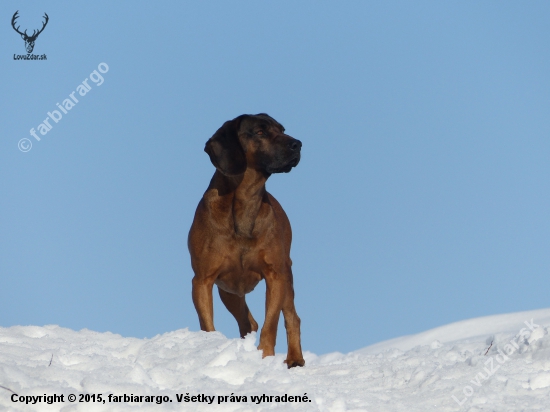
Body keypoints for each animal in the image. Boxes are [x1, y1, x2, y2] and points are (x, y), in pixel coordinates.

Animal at [188, 112, 304, 366]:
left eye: (282, 129)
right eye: (260, 132)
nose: (298, 144)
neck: (245, 201)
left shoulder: (275, 276)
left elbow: (271, 325)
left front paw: (265, 356)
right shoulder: (202, 280)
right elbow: (207, 324)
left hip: (287, 275)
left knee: (292, 317)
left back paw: (294, 360)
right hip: (229, 291)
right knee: (247, 322)